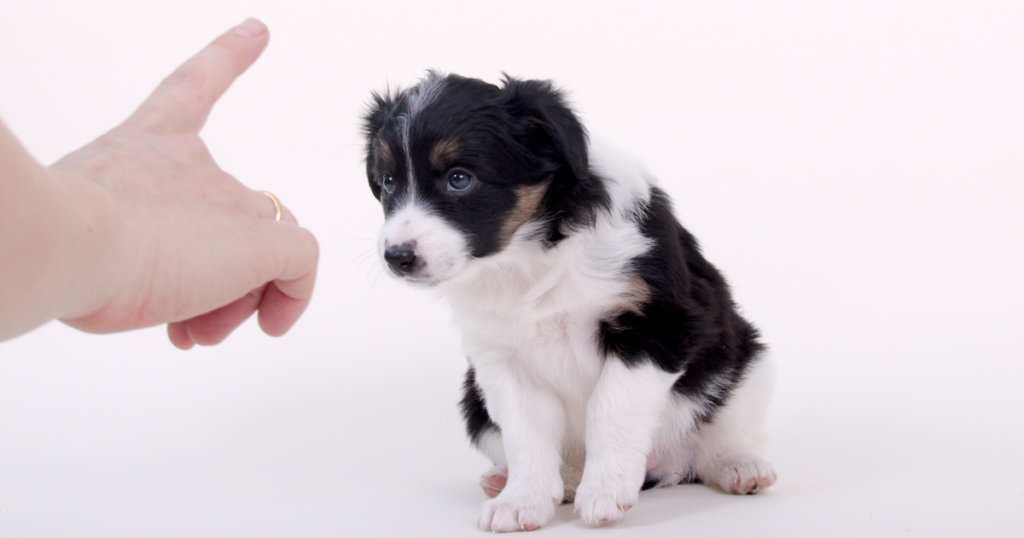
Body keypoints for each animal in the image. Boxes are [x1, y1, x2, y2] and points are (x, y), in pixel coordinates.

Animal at [364, 72, 770, 532]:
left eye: (459, 178)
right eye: (388, 182)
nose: (397, 257)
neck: (529, 255)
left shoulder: (658, 325)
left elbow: (609, 408)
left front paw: (605, 491)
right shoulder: (500, 357)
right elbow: (525, 432)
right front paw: (522, 500)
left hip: (747, 361)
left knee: (717, 438)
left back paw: (740, 466)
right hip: (475, 402)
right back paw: (523, 481)